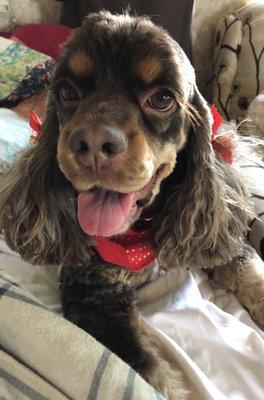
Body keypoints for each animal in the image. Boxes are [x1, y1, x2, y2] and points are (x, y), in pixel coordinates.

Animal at [0, 10, 264, 398]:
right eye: (67, 91)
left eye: (162, 98)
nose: (92, 143)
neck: (140, 232)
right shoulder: (93, 296)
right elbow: (150, 372)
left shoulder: (216, 233)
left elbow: (251, 273)